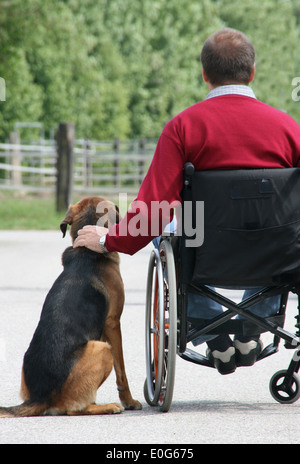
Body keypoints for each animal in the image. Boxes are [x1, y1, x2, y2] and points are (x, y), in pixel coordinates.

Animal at [0, 196, 142, 416]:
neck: (86, 252)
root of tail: (39, 397)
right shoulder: (113, 323)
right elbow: (122, 371)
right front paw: (129, 401)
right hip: (102, 348)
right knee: (76, 409)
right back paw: (109, 406)